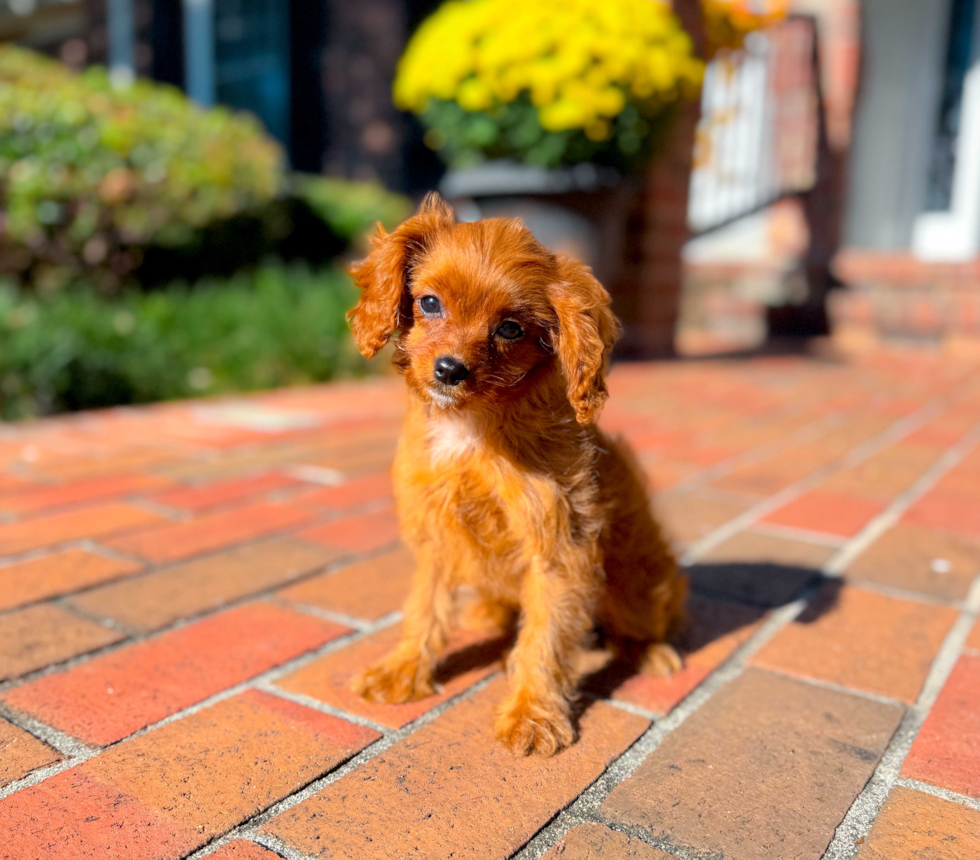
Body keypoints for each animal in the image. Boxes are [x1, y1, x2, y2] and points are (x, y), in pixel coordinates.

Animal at [348, 190, 684, 752]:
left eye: (510, 328)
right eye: (429, 303)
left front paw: (533, 712)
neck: (472, 429)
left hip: (638, 582)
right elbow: (423, 608)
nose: (449, 369)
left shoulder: (559, 547)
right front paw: (404, 669)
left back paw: (648, 651)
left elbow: (545, 638)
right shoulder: (435, 537)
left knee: (637, 621)